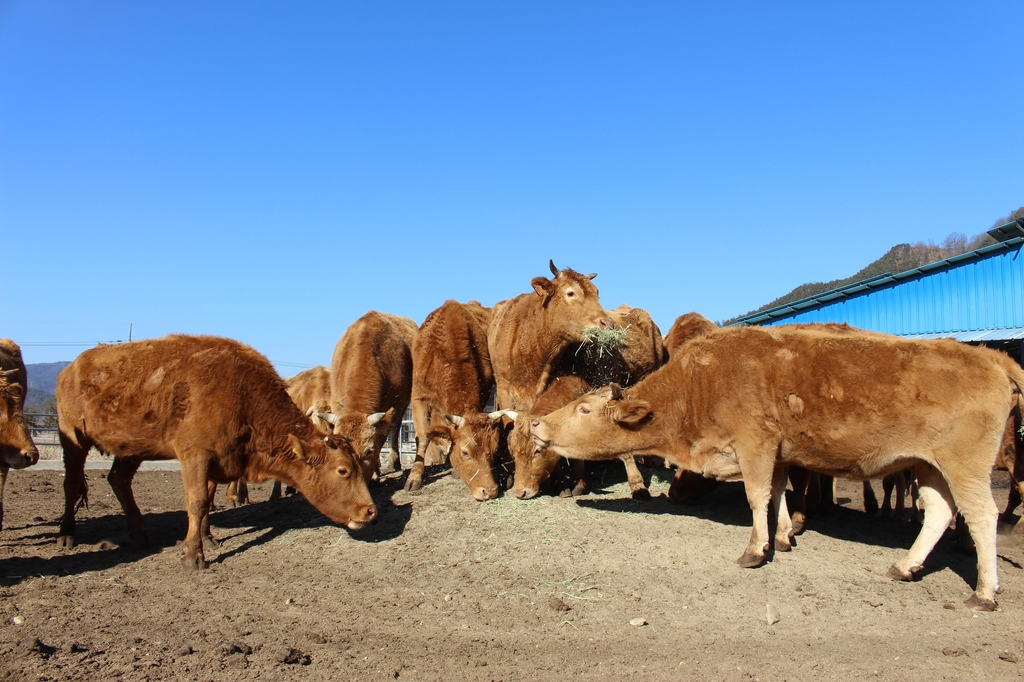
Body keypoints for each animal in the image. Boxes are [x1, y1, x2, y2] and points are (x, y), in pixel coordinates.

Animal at [56, 335, 376, 569]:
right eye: (343, 470)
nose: (370, 510)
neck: (241, 394)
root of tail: (69, 370)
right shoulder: (194, 455)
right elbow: (197, 501)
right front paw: (193, 555)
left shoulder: (218, 460)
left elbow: (207, 499)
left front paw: (208, 538)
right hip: (73, 436)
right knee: (71, 483)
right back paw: (66, 535)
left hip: (131, 449)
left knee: (119, 480)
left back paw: (139, 533)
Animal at [403, 301, 507, 497]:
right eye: (465, 453)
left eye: (494, 450)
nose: (490, 491)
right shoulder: (418, 397)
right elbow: (423, 437)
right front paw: (414, 477)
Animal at [532, 323, 1024, 610]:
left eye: (583, 410)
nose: (537, 422)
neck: (699, 382)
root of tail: (989, 357)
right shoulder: (780, 453)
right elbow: (779, 493)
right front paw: (785, 536)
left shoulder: (755, 444)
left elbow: (757, 496)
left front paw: (756, 550)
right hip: (929, 467)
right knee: (939, 511)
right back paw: (906, 566)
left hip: (964, 466)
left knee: (981, 516)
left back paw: (984, 592)